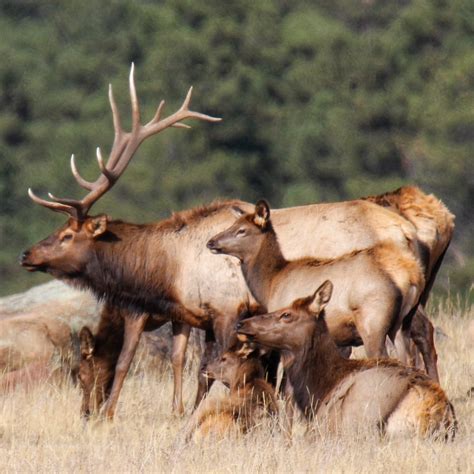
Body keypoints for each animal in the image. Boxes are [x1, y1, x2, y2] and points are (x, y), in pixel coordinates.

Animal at [21, 64, 452, 418]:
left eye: (66, 235)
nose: (27, 254)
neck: (168, 271)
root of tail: (415, 227)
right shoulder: (194, 315)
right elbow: (193, 366)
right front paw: (185, 412)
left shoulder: (225, 308)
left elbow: (191, 367)